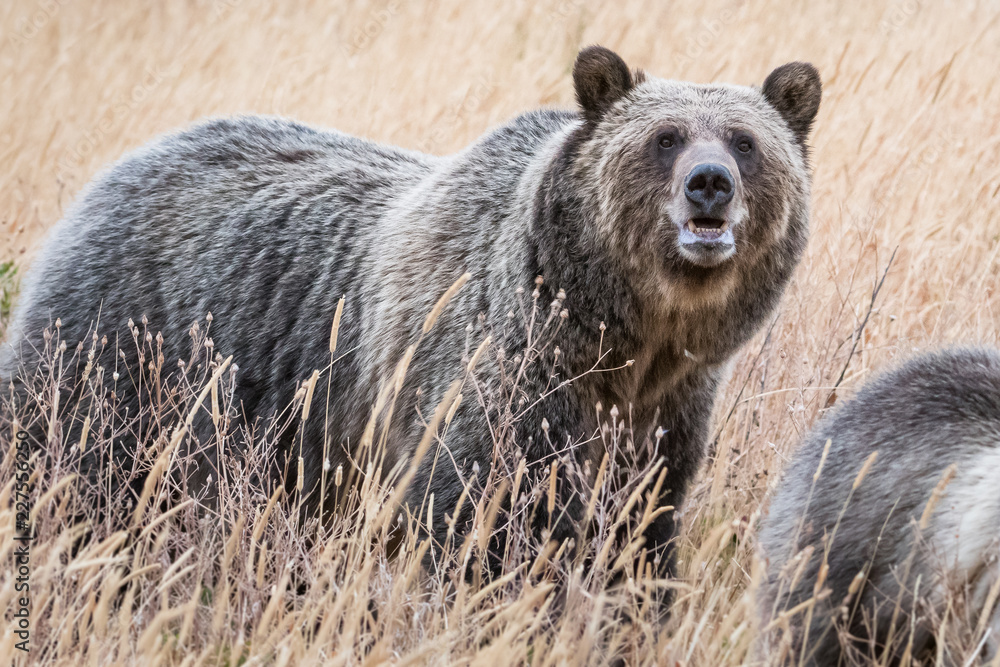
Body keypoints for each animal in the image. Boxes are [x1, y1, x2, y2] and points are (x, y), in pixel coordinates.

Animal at [2, 46, 821, 589]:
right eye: (665, 137)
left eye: (746, 141)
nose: (709, 185)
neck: (623, 337)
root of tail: (118, 169)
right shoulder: (492, 382)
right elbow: (470, 530)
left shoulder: (661, 419)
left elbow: (638, 537)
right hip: (120, 359)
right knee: (62, 472)